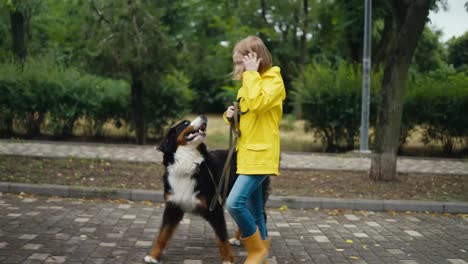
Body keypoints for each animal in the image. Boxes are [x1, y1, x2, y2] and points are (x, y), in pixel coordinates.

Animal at [145, 115, 270, 264]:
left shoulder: (214, 208)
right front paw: (153, 256)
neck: (187, 164)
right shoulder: (173, 207)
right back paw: (238, 238)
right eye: (185, 123)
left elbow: (221, 238)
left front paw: (228, 259)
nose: (204, 116)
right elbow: (162, 235)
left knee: (259, 217)